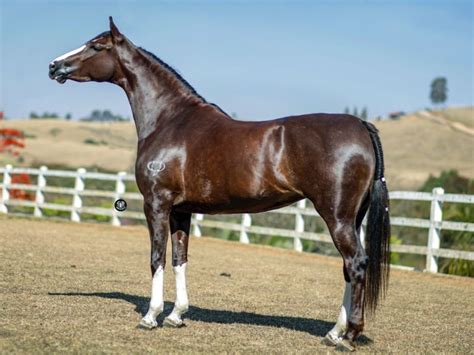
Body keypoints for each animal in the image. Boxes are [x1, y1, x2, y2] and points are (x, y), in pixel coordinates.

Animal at [48, 18, 390, 352]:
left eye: (96, 46)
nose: (54, 66)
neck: (169, 120)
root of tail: (361, 125)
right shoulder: (180, 211)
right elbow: (179, 259)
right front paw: (176, 315)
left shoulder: (156, 204)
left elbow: (157, 258)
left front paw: (150, 316)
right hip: (351, 218)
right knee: (348, 268)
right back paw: (333, 333)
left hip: (336, 216)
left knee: (356, 264)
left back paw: (348, 336)